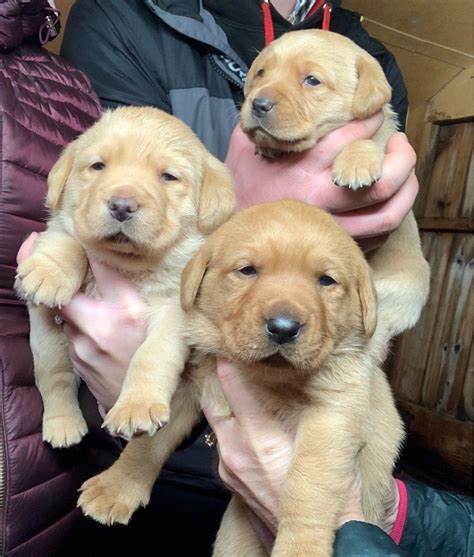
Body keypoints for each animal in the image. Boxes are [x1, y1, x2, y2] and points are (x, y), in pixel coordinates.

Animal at [15, 105, 235, 448]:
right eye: (98, 166)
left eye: (168, 176)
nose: (121, 205)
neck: (129, 264)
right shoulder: (64, 227)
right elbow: (69, 239)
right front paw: (48, 273)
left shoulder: (175, 310)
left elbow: (152, 355)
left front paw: (136, 407)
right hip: (47, 341)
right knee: (55, 377)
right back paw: (62, 423)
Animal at [78, 200, 404, 556]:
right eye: (247, 270)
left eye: (327, 281)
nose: (283, 327)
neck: (264, 377)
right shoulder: (190, 389)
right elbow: (147, 444)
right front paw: (116, 486)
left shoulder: (333, 415)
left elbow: (308, 488)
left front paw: (299, 547)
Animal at [243, 30, 432, 350]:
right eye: (261, 73)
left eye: (311, 80)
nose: (258, 104)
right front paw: (267, 148)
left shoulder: (386, 139)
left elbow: (366, 141)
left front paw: (356, 163)